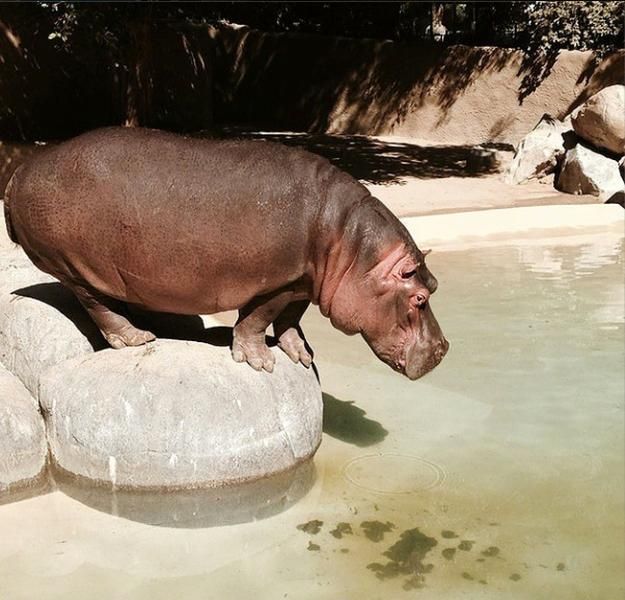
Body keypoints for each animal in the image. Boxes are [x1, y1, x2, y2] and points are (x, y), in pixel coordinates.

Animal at [2, 127, 446, 380]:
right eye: (419, 298)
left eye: (435, 285)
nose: (444, 349)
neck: (349, 245)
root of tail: (20, 170)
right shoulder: (278, 282)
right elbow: (257, 319)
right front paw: (259, 363)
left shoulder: (303, 281)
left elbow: (290, 319)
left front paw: (301, 355)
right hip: (74, 266)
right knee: (97, 304)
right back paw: (137, 338)